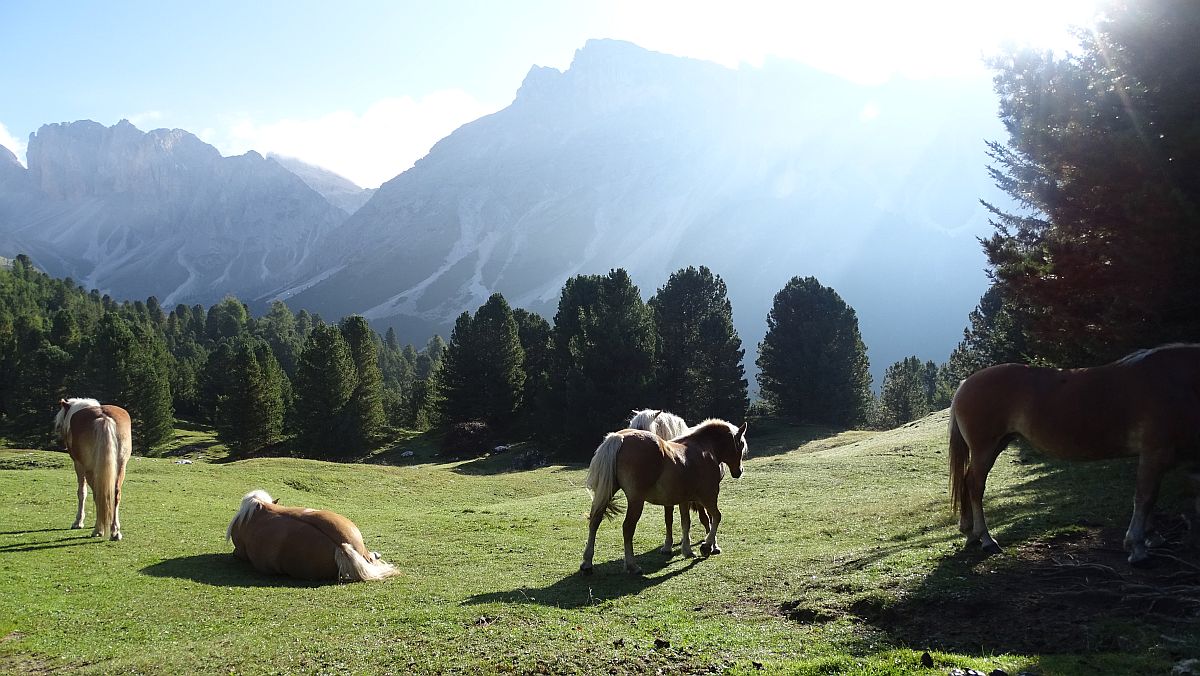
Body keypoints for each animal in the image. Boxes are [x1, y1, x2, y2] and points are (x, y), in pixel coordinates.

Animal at [53, 398, 132, 542]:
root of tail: (103, 417)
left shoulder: (78, 465)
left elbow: (82, 492)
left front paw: (78, 522)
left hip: (89, 469)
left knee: (98, 494)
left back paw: (98, 529)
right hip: (121, 467)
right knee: (115, 494)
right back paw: (115, 531)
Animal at [950, 343, 1200, 566]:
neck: (1175, 382)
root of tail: (965, 384)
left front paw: (1153, 536)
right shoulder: (1154, 453)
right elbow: (1145, 497)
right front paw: (1138, 547)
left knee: (967, 481)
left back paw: (970, 532)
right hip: (985, 449)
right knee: (975, 485)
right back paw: (986, 539)